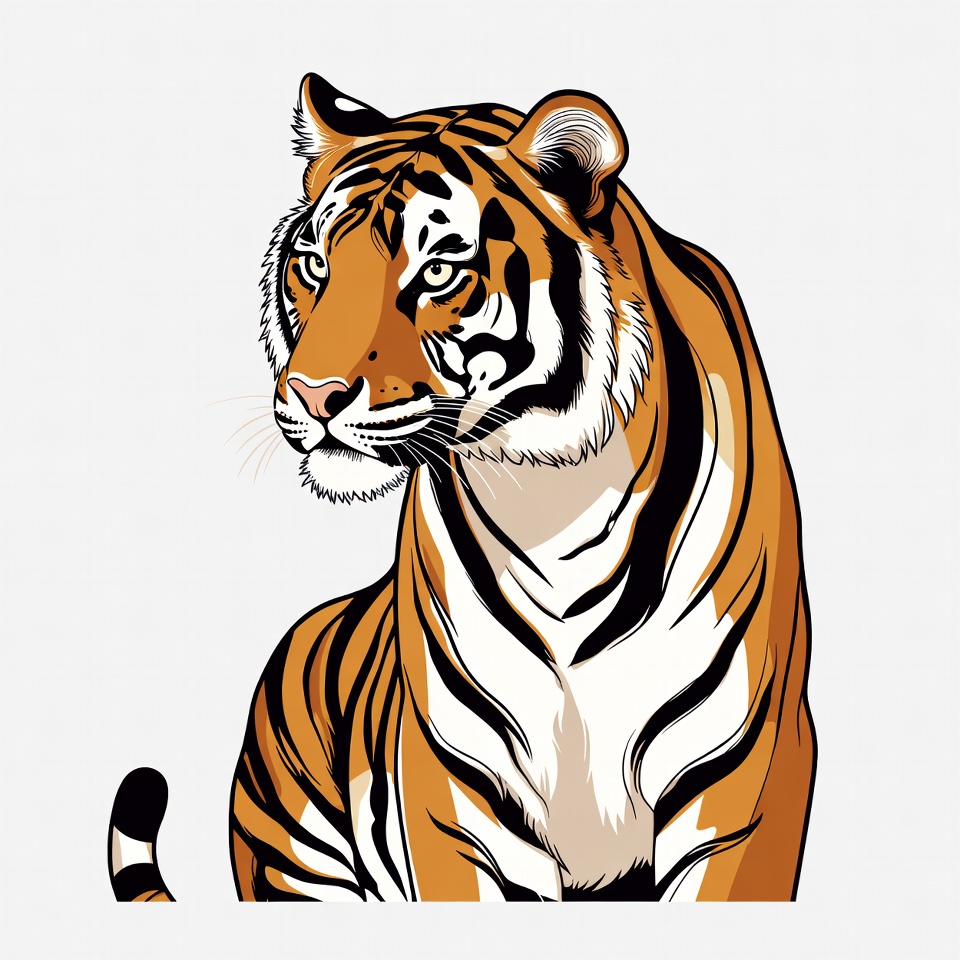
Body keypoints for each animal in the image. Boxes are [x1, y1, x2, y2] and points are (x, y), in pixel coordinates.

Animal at [108, 73, 816, 902]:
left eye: (439, 271)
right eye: (314, 265)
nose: (313, 396)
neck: (552, 503)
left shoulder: (742, 783)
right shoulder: (458, 792)